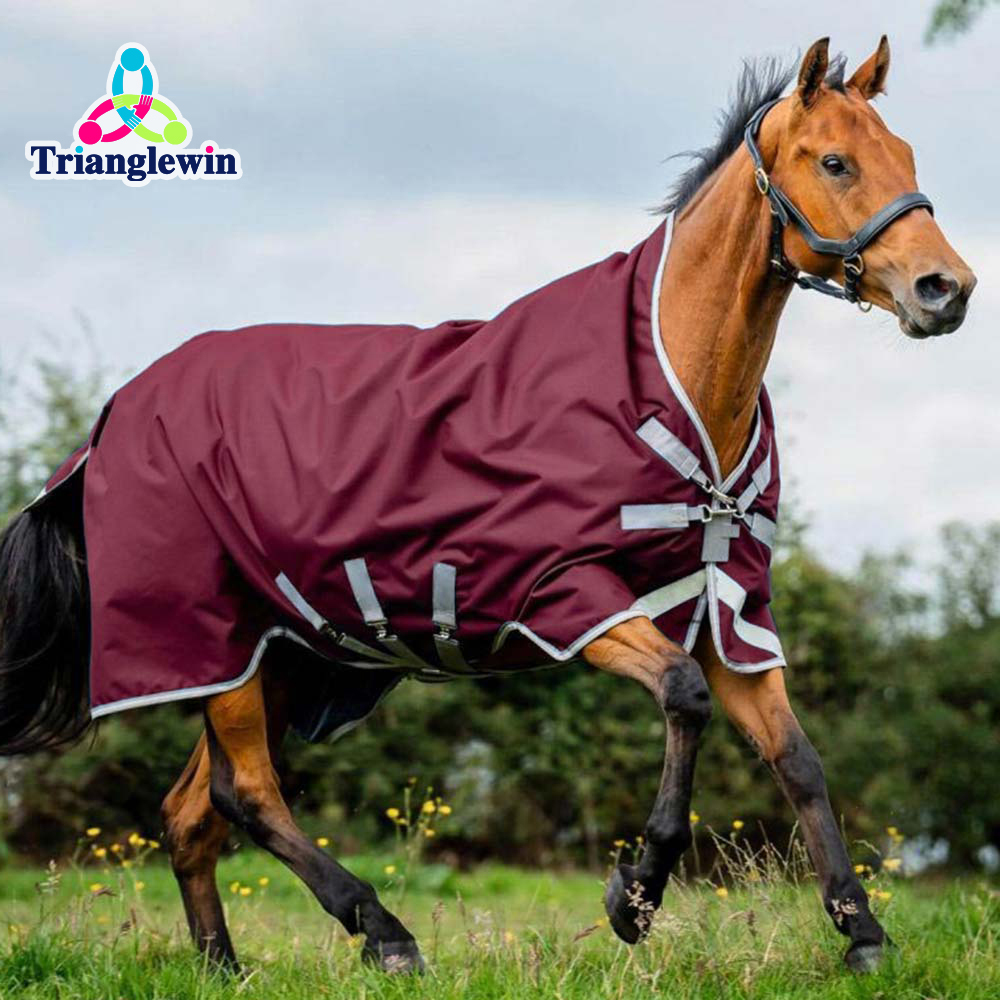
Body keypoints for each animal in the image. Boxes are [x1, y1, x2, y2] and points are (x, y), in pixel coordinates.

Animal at [0, 37, 975, 975]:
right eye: (836, 162)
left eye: (905, 152)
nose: (947, 290)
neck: (669, 381)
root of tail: (111, 420)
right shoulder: (565, 591)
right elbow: (683, 695)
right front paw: (636, 894)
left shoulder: (728, 608)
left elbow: (798, 758)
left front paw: (863, 934)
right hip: (213, 642)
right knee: (247, 794)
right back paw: (384, 933)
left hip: (273, 652)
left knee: (192, 813)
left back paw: (223, 967)